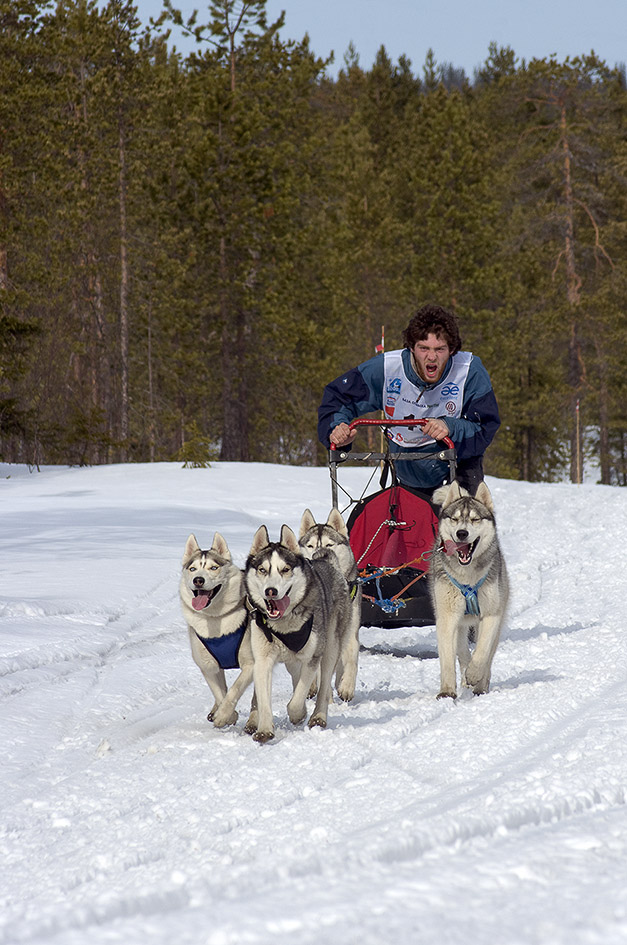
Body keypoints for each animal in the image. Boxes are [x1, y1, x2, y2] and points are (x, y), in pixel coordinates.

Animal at [182, 532, 258, 732]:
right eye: (192, 569)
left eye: (213, 567)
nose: (198, 580)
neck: (216, 619)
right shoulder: (208, 666)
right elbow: (219, 692)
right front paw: (228, 715)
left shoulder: (251, 664)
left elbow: (234, 690)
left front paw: (224, 715)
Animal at [245, 524, 354, 736]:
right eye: (262, 570)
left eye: (285, 569)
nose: (271, 591)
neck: (284, 626)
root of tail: (327, 562)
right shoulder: (263, 660)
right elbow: (263, 699)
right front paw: (264, 730)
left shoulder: (312, 658)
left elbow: (298, 698)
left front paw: (298, 714)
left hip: (330, 649)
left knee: (324, 685)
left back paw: (318, 717)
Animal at [300, 508, 364, 700]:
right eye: (310, 546)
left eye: (329, 545)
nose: (319, 555)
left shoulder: (351, 631)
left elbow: (352, 657)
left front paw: (347, 686)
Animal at [430, 484, 508, 696]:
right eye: (455, 519)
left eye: (475, 519)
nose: (462, 533)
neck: (467, 578)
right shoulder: (447, 618)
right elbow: (448, 659)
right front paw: (447, 691)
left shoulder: (491, 615)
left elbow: (481, 652)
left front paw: (474, 675)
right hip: (460, 623)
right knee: (462, 651)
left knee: (487, 657)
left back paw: (479, 684)